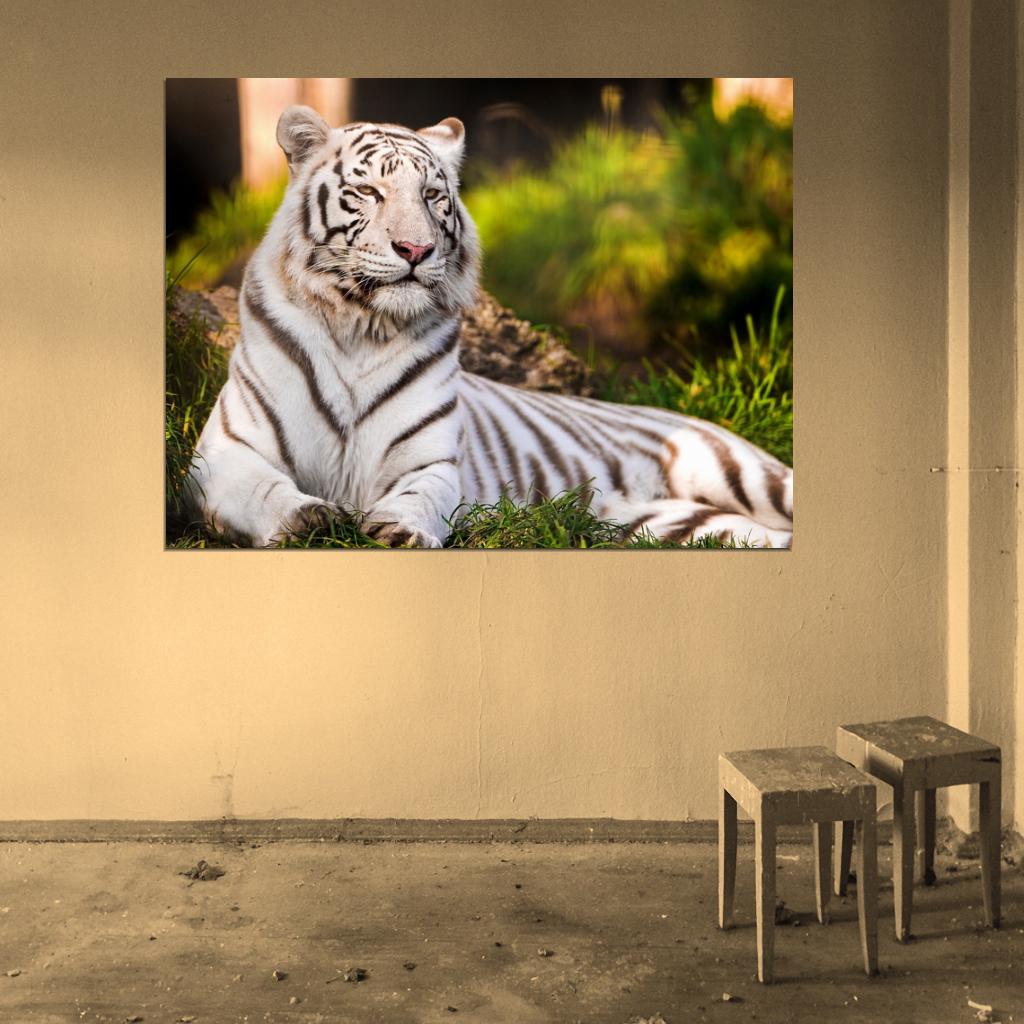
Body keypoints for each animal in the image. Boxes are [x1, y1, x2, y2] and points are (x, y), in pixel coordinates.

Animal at [185, 105, 793, 549]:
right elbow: (266, 491)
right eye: (369, 193)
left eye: (432, 196)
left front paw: (398, 530)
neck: (361, 327)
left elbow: (419, 498)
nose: (415, 249)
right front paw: (309, 520)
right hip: (681, 526)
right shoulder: (224, 454)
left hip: (748, 477)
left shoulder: (431, 462)